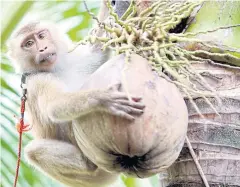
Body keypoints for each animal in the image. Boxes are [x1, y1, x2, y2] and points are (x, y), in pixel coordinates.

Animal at [7, 1, 145, 187]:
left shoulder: (76, 62)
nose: (42, 48)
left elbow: (98, 52)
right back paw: (89, 164)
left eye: (41, 36)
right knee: (33, 151)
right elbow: (54, 107)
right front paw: (103, 98)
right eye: (28, 43)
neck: (55, 69)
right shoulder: (38, 81)